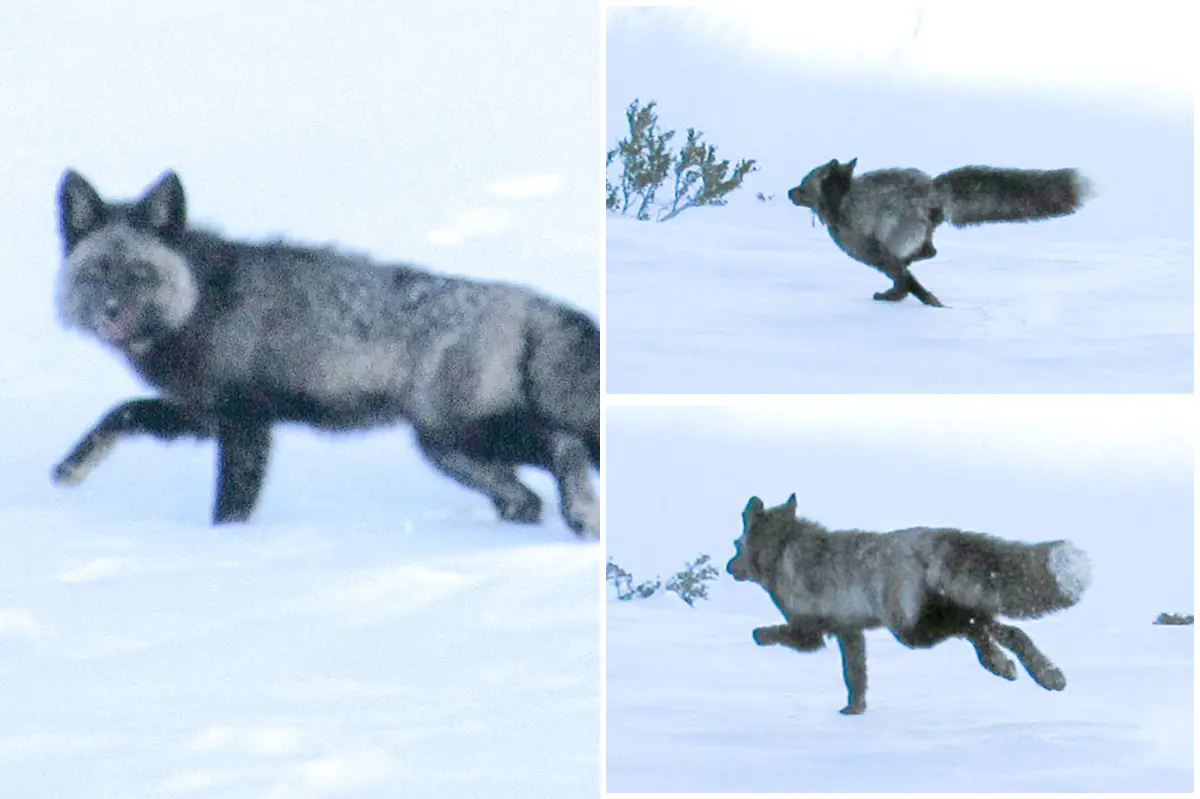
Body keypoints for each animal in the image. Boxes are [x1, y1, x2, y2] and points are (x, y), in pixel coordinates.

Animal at [51, 169, 600, 535]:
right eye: (96, 272)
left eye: (140, 273)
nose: (110, 313)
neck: (200, 302)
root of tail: (531, 303)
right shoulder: (203, 413)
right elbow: (122, 414)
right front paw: (70, 468)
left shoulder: (244, 421)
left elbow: (230, 504)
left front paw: (224, 550)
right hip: (447, 448)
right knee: (526, 498)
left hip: (466, 431)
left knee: (565, 444)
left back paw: (581, 514)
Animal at [725, 493, 1092, 715]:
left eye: (736, 544)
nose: (729, 568)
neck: (782, 551)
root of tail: (929, 537)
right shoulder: (850, 632)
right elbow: (855, 677)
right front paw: (854, 711)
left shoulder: (810, 631)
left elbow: (766, 633)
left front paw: (759, 637)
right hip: (938, 613)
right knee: (1003, 630)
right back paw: (1039, 672)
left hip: (913, 631)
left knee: (978, 628)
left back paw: (1009, 666)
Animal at [787, 159, 1092, 307]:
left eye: (803, 185)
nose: (789, 192)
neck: (842, 201)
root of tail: (932, 188)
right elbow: (907, 279)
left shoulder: (875, 253)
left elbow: (907, 282)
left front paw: (925, 302)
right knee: (929, 252)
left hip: (896, 236)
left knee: (922, 255)